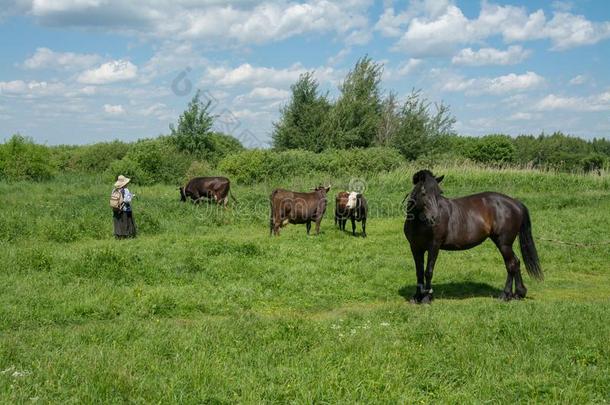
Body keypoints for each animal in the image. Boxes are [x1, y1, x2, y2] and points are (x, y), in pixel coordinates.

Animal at [404, 170, 540, 304]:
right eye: (423, 193)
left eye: (440, 193)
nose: (434, 218)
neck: (419, 223)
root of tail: (515, 203)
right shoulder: (415, 247)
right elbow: (419, 272)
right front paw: (417, 297)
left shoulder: (434, 246)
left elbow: (428, 271)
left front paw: (427, 298)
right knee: (516, 262)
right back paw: (518, 293)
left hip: (504, 244)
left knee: (511, 264)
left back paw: (505, 295)